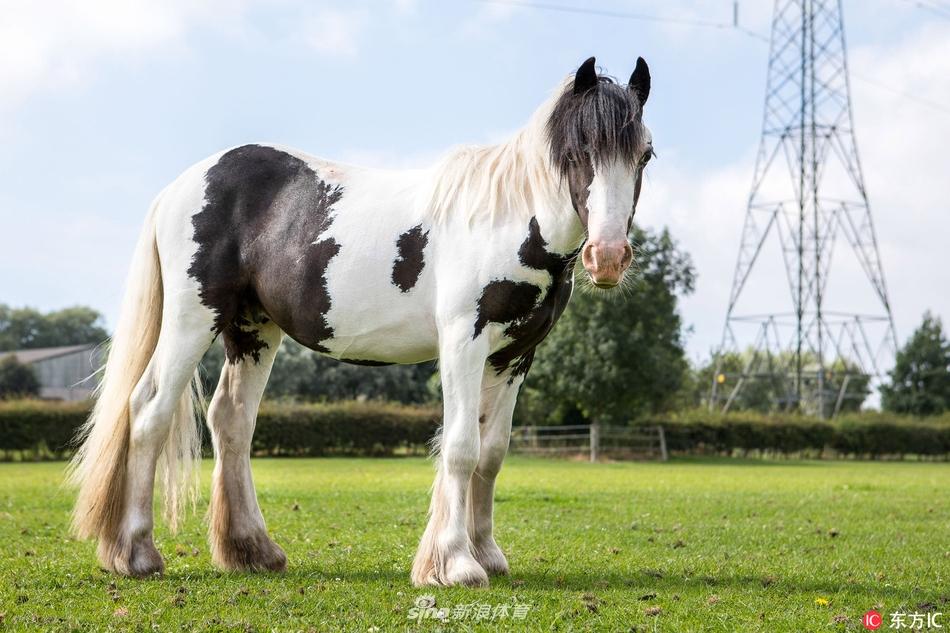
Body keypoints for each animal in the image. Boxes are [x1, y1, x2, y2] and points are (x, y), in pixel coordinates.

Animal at [70, 56, 660, 584]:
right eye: (579, 150)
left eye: (646, 154)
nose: (608, 257)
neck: (506, 218)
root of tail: (182, 186)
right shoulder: (463, 343)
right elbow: (461, 447)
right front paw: (455, 564)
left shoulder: (515, 356)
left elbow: (491, 454)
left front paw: (487, 554)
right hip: (193, 319)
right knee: (149, 411)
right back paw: (137, 554)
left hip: (252, 331)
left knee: (231, 422)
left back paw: (252, 551)